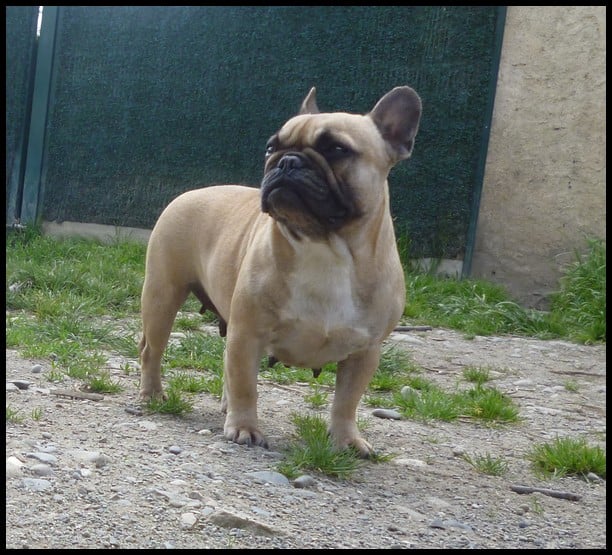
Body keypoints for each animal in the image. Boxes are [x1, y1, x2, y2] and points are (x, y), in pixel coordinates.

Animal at [139, 85, 422, 457]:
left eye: (336, 149)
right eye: (271, 147)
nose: (287, 161)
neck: (324, 247)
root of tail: (190, 193)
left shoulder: (365, 351)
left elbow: (347, 401)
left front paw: (346, 439)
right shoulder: (248, 333)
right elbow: (246, 384)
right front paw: (245, 428)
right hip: (163, 296)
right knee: (153, 351)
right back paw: (152, 395)